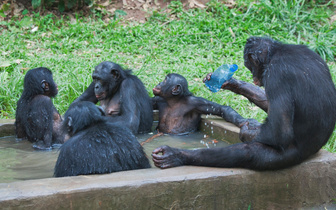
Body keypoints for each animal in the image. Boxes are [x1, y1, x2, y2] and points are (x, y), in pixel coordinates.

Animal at [152, 36, 336, 171]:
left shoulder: (276, 75)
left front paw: (247, 129)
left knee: (247, 153)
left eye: (249, 65)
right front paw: (232, 83)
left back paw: (175, 155)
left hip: (291, 155)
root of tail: (314, 152)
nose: (159, 83)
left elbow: (280, 132)